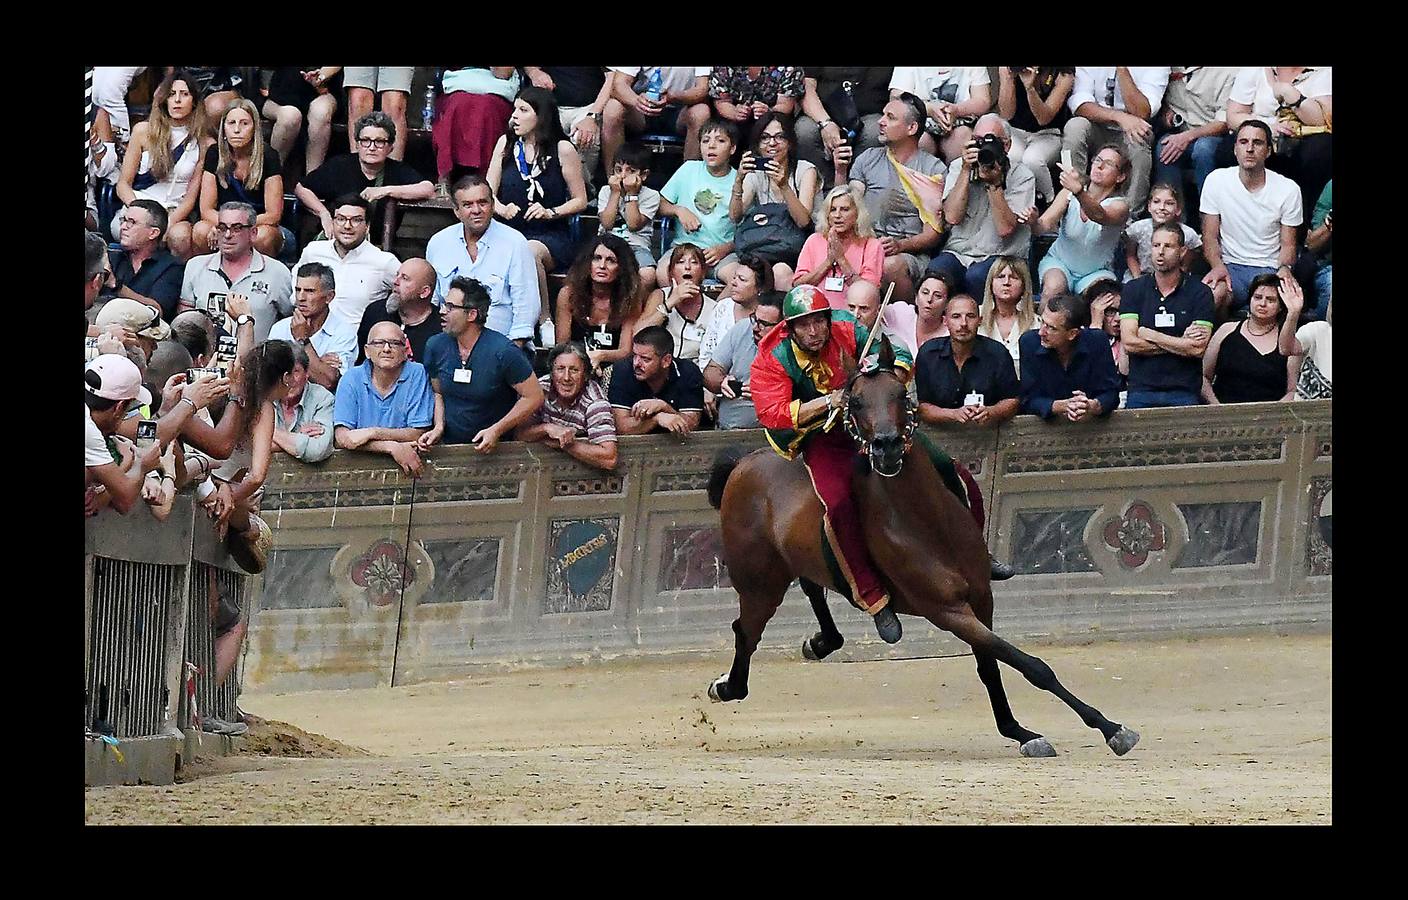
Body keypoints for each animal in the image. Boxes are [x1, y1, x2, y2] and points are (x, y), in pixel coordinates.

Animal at [709, 339, 1137, 760]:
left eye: (900, 394)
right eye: (856, 402)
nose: (886, 446)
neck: (925, 523)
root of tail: (743, 465)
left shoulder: (981, 598)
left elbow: (991, 665)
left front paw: (1020, 731)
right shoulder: (947, 610)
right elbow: (1027, 664)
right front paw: (1110, 728)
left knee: (810, 590)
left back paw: (820, 642)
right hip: (758, 584)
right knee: (745, 631)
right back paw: (728, 685)